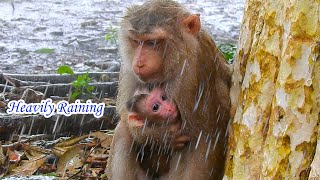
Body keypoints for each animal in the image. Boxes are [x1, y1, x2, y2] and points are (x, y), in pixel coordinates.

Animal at [108, 0, 232, 179]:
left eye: (152, 42)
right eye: (136, 41)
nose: (139, 63)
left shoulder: (190, 73)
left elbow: (205, 136)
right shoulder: (128, 67)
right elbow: (126, 115)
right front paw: (159, 136)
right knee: (123, 131)